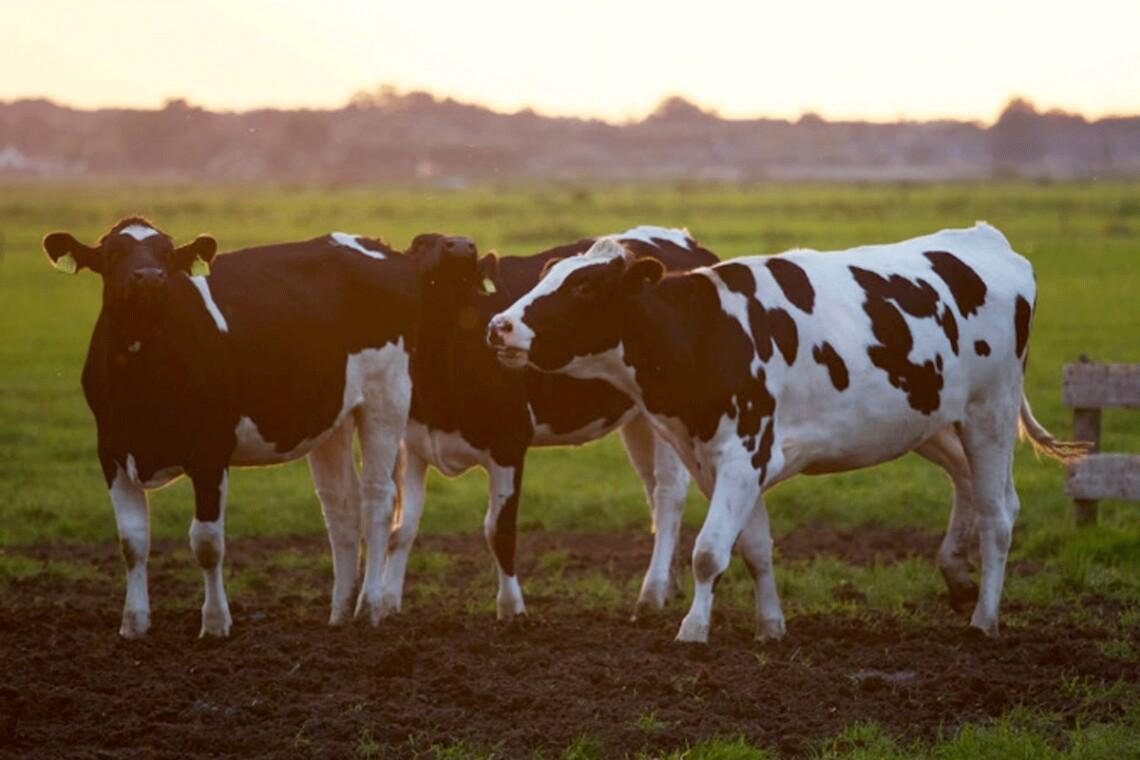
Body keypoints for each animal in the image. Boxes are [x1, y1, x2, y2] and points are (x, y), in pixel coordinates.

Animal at [43, 218, 424, 638]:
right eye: (113, 254)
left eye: (167, 254)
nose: (150, 277)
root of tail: (375, 245)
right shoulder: (110, 450)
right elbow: (132, 541)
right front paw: (134, 624)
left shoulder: (210, 451)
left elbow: (207, 543)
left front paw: (214, 623)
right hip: (333, 417)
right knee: (342, 506)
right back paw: (339, 612)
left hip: (386, 398)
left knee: (378, 499)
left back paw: (368, 608)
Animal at [378, 225, 715, 619]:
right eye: (419, 243)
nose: (461, 246)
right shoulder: (413, 444)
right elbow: (402, 529)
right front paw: (387, 604)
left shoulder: (509, 443)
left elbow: (499, 531)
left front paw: (512, 609)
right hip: (642, 420)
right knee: (654, 496)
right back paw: (670, 586)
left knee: (668, 496)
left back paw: (652, 593)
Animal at [485, 223, 1089, 647]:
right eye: (548, 274)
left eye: (584, 286)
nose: (499, 325)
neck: (706, 332)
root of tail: (985, 239)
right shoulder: (721, 461)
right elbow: (752, 548)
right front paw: (770, 625)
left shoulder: (743, 453)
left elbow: (708, 552)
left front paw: (693, 629)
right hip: (932, 420)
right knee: (976, 489)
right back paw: (958, 580)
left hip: (990, 412)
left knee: (999, 516)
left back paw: (984, 618)